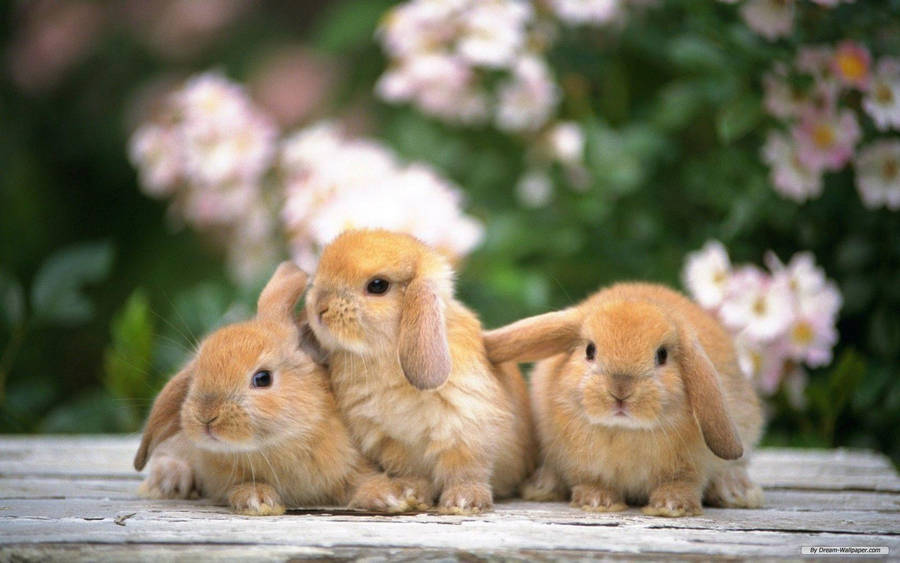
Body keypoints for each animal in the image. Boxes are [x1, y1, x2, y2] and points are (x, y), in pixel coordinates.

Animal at [134, 261, 428, 516]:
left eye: (262, 378)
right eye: (196, 375)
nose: (206, 415)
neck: (279, 445)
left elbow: (363, 483)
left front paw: (392, 497)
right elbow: (241, 487)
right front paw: (258, 500)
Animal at [302, 229, 536, 514]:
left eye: (377, 285)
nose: (319, 308)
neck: (387, 358)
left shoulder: (466, 431)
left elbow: (466, 470)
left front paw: (464, 501)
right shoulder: (392, 443)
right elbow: (412, 473)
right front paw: (410, 494)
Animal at [484, 282, 764, 517]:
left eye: (662, 355)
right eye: (590, 350)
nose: (620, 391)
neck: (624, 431)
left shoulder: (691, 468)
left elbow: (683, 484)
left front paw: (671, 506)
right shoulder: (581, 465)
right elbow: (590, 480)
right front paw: (597, 501)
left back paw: (738, 492)